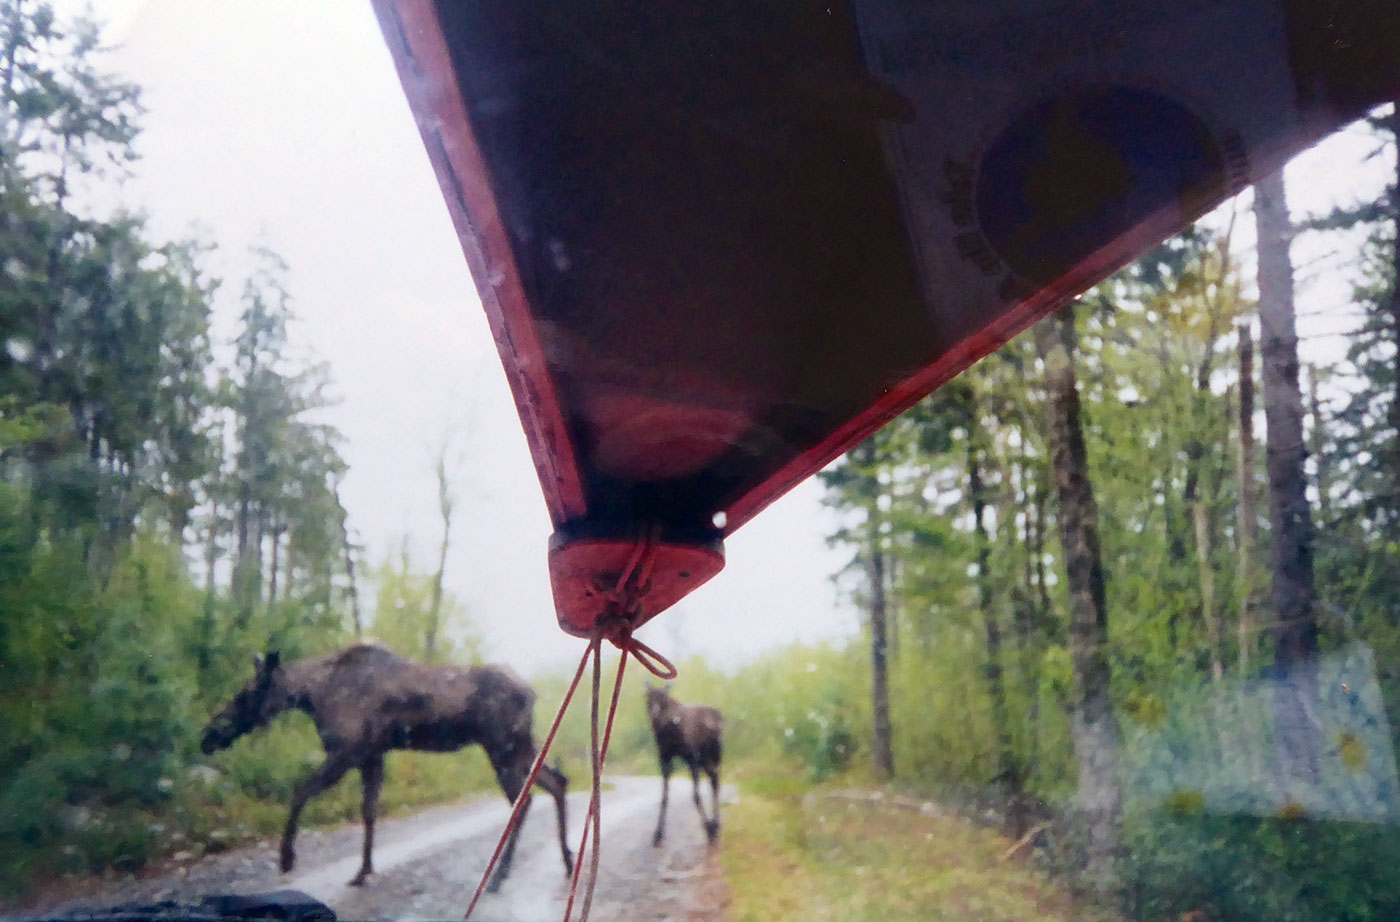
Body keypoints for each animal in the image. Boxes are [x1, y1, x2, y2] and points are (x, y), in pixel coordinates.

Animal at [200, 640, 571, 895]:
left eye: (245, 692)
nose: (208, 735)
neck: (312, 695)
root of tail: (532, 694)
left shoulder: (347, 751)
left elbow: (300, 790)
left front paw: (287, 858)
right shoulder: (372, 755)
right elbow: (369, 810)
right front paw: (363, 871)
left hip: (501, 748)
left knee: (524, 801)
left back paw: (499, 877)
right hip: (522, 747)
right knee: (558, 782)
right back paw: (567, 860)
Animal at [646, 682, 722, 845]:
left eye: (663, 698)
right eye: (647, 697)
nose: (654, 714)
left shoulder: (691, 756)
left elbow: (696, 795)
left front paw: (707, 829)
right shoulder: (665, 758)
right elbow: (664, 797)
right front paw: (658, 833)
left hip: (713, 754)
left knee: (716, 779)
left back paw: (714, 824)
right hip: (704, 759)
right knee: (713, 778)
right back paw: (715, 823)